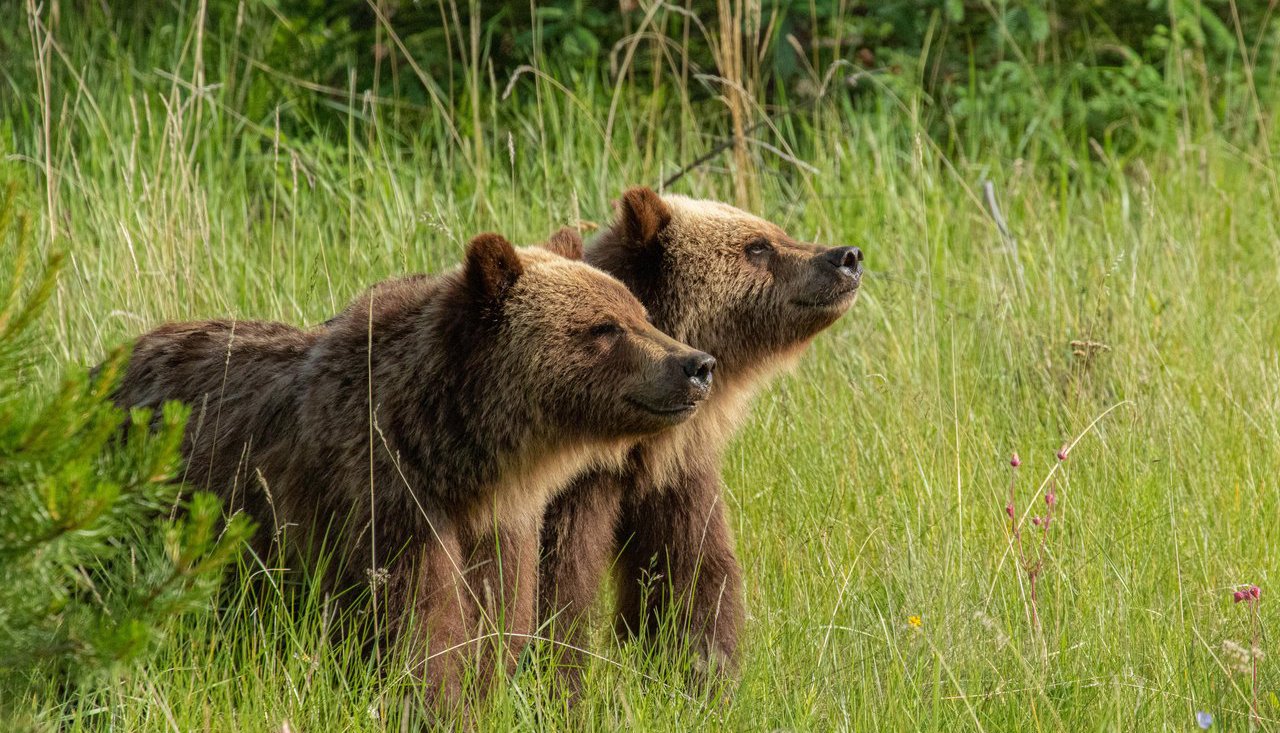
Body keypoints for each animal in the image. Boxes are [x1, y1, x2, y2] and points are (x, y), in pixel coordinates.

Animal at [111, 231, 717, 711]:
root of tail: (110, 365)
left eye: (640, 314)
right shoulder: (389, 500)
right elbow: (418, 628)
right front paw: (437, 702)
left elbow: (498, 620)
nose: (697, 364)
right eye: (605, 327)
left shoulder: (499, 527)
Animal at [538, 188, 863, 688]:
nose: (847, 256)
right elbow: (554, 583)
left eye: (777, 230)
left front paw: (698, 674)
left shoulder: (675, 474)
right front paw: (552, 684)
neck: (639, 442)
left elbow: (690, 573)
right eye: (757, 246)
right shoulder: (569, 482)